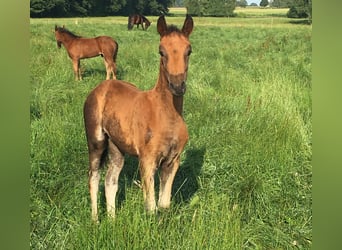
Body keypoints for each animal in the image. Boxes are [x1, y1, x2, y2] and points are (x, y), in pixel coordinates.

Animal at [83, 14, 192, 222]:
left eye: (189, 51)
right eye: (161, 52)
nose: (177, 86)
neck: (166, 115)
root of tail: (101, 87)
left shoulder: (173, 161)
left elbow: (164, 205)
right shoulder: (147, 160)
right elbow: (151, 207)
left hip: (116, 146)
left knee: (110, 180)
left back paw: (112, 221)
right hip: (96, 141)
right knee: (93, 177)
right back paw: (95, 220)